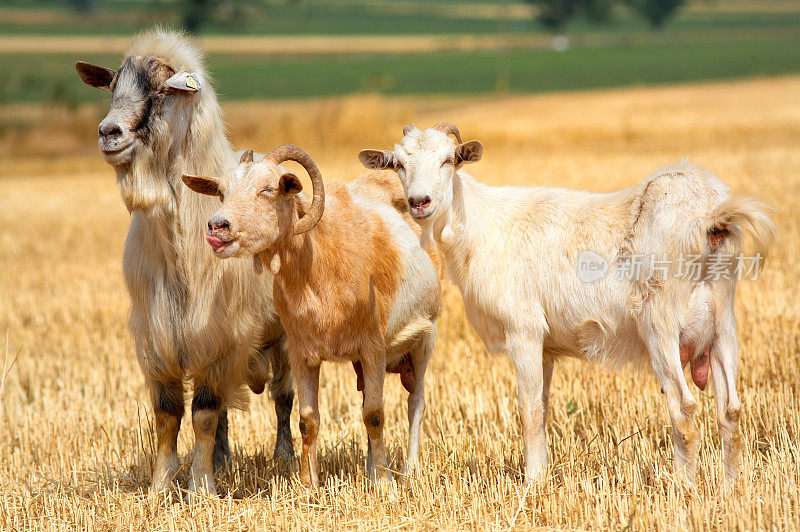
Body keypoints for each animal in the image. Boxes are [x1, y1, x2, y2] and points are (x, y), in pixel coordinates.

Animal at [73, 29, 294, 494]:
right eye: (113, 86)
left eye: (161, 90)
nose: (108, 132)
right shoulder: (158, 338)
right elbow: (169, 415)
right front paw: (161, 485)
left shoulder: (220, 335)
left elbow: (205, 413)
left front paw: (201, 487)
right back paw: (224, 459)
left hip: (281, 337)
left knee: (282, 396)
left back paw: (282, 457)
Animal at [182, 144, 440, 486]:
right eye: (222, 192)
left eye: (268, 189)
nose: (217, 227)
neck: (319, 265)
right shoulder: (302, 353)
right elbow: (308, 420)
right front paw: (308, 483)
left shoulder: (373, 347)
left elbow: (375, 416)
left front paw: (383, 483)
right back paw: (371, 466)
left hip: (424, 340)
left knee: (416, 403)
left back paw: (408, 469)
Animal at [362, 121, 776, 486]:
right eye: (399, 164)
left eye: (449, 159)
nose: (419, 202)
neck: (480, 228)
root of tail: (709, 216)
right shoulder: (545, 348)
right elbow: (543, 408)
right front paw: (543, 472)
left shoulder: (524, 330)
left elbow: (528, 408)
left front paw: (531, 483)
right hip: (723, 324)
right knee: (730, 410)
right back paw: (730, 489)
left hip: (661, 325)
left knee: (684, 407)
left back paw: (684, 488)